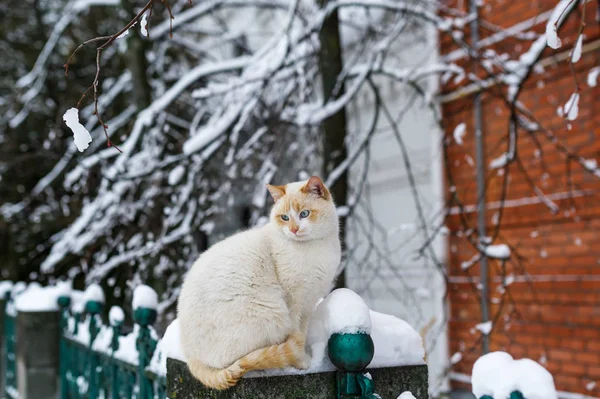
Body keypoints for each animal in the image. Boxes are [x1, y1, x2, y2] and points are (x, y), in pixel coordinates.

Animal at [176, 177, 340, 390]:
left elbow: (302, 332)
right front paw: (301, 362)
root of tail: (191, 358)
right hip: (271, 313)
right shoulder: (294, 302)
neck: (314, 248)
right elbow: (296, 334)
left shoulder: (308, 303)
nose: (294, 229)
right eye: (284, 218)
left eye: (304, 214)